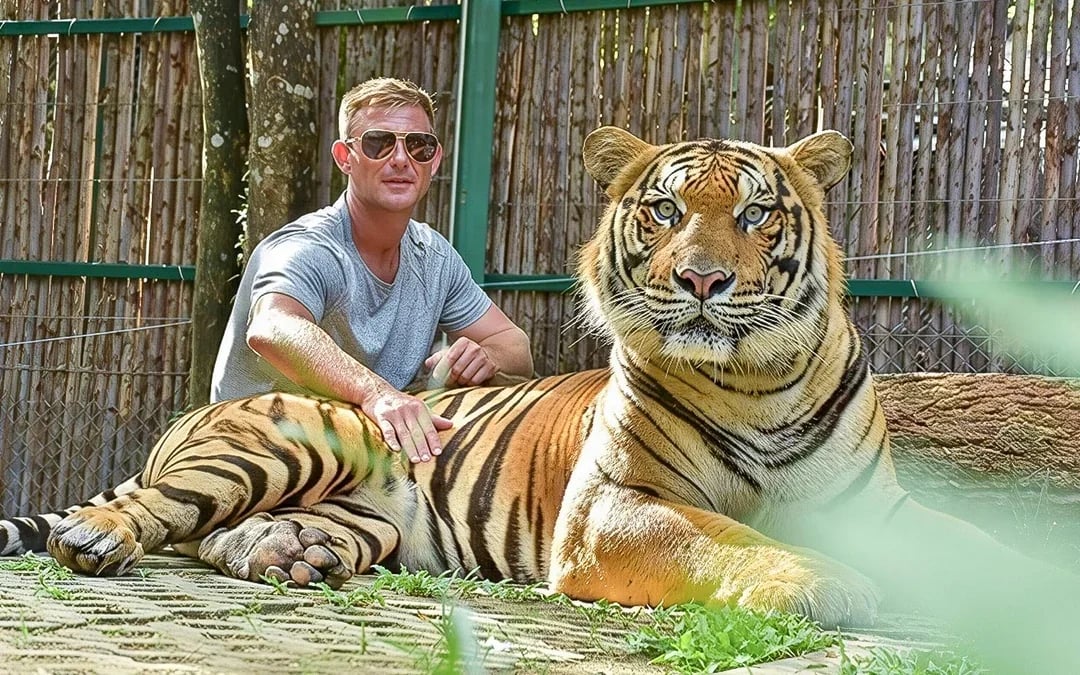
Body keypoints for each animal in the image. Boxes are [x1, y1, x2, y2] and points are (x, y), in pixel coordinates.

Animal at [1, 127, 1076, 643]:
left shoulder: (875, 505)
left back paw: (285, 557)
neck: (758, 379)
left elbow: (980, 545)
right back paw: (101, 539)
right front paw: (824, 580)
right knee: (153, 511)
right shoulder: (614, 506)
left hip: (360, 519)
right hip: (280, 441)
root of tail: (207, 409)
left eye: (757, 214)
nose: (703, 280)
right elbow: (722, 535)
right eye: (666, 210)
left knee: (222, 538)